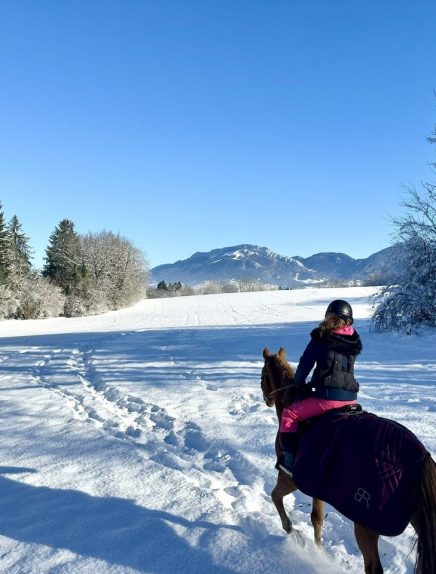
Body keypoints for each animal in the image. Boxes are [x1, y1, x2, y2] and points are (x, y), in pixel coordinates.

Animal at [260, 346, 436, 574]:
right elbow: (317, 519)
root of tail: (423, 458)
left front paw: (294, 533)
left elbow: (275, 497)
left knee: (373, 567)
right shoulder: (317, 482)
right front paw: (319, 551)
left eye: (262, 374)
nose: (267, 398)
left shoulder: (290, 479)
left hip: (365, 524)